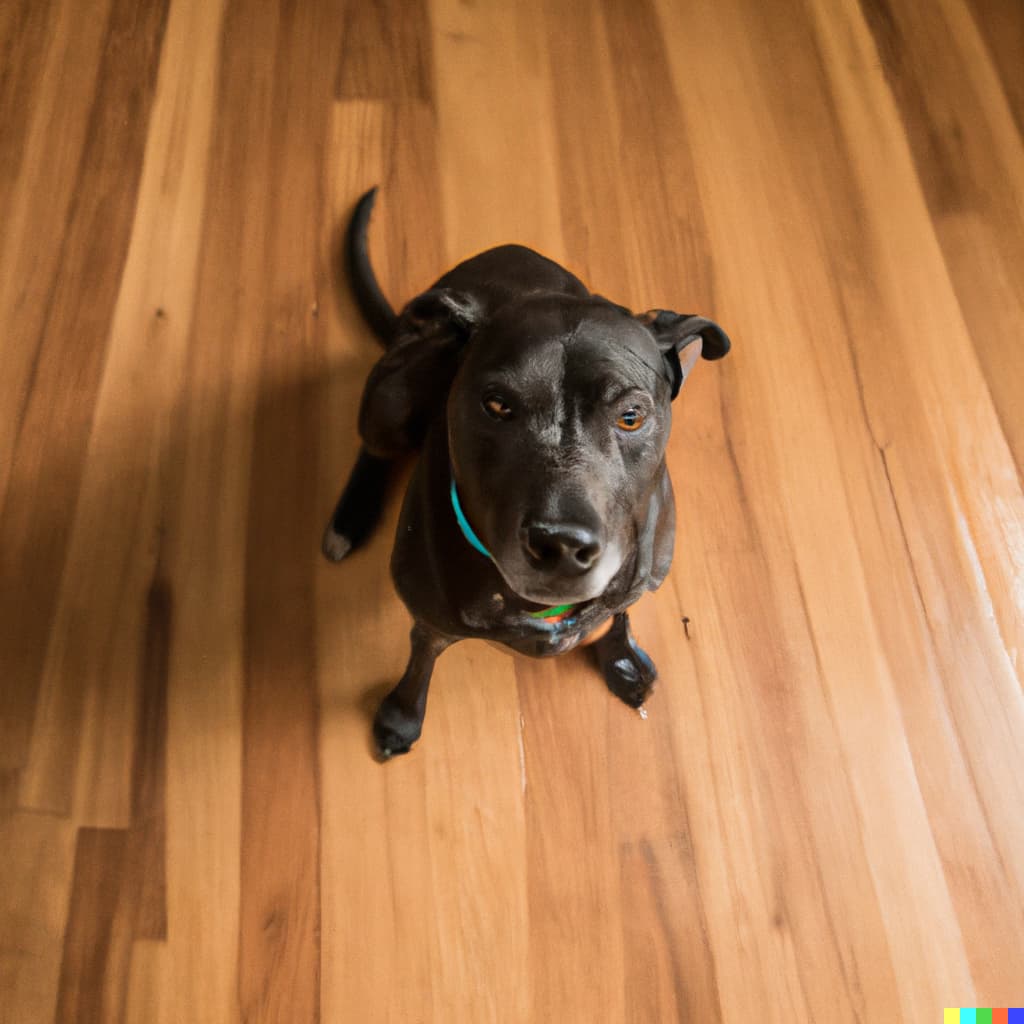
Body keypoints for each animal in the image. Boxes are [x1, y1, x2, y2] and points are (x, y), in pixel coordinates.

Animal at [321, 190, 729, 761]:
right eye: (496, 405)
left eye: (631, 416)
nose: (561, 545)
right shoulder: (430, 617)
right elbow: (421, 657)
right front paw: (402, 717)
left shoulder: (639, 580)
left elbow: (619, 614)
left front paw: (623, 660)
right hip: (393, 392)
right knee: (375, 447)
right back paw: (348, 520)